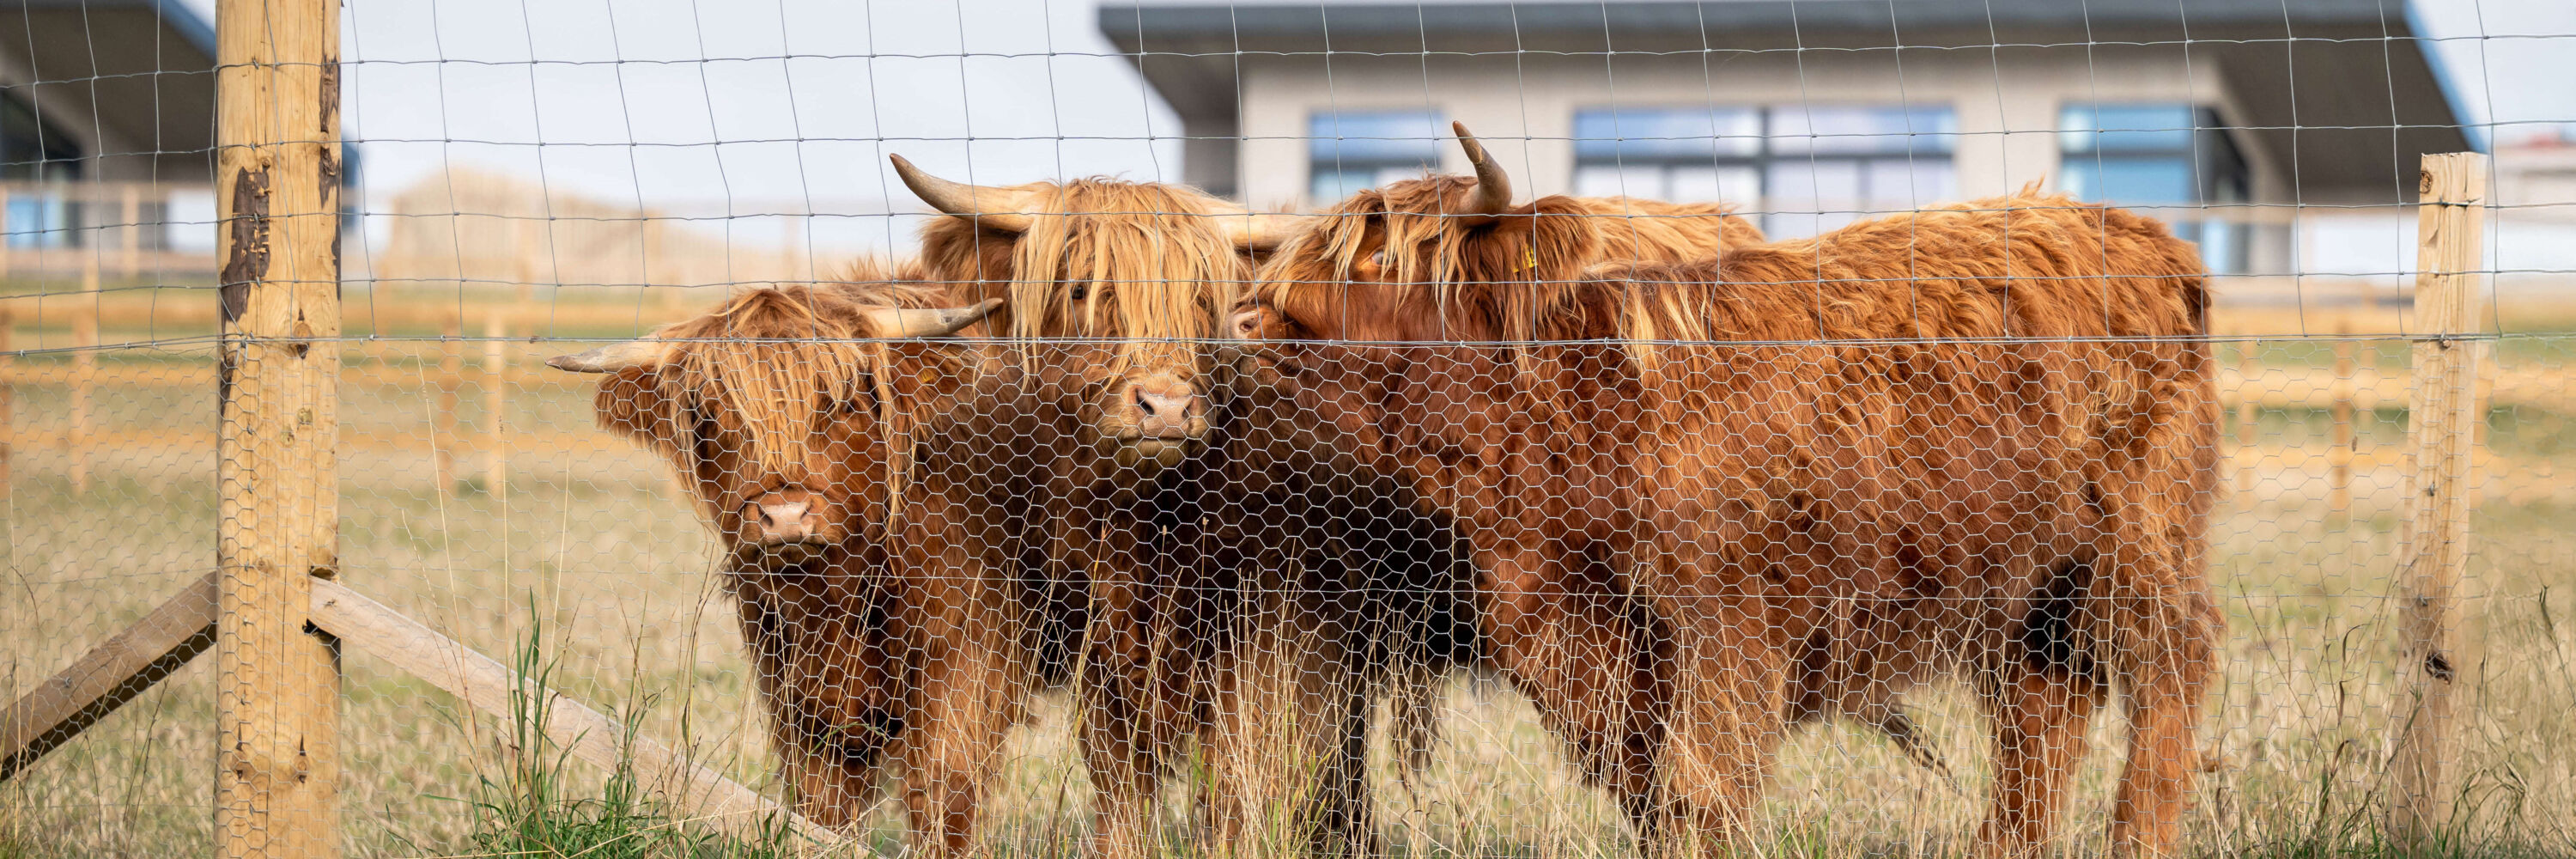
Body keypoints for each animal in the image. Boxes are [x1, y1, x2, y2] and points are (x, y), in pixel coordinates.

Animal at [1235, 158, 2221, 859]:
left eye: (1374, 259)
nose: (1244, 316)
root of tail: (2140, 233)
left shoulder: (1725, 627)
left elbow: (1699, 787)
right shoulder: (1594, 648)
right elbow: (1647, 786)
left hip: (2141, 540)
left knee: (2168, 671)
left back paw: (2140, 837)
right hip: (2036, 580)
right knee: (2043, 710)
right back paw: (2003, 846)